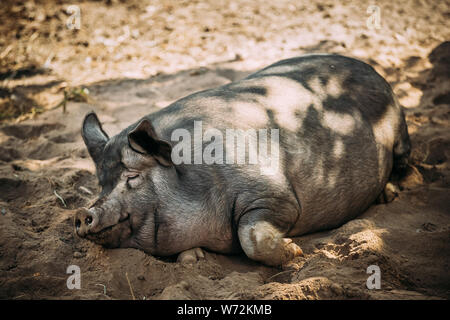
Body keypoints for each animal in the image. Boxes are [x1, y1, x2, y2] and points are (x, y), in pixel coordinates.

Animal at [75, 53, 410, 266]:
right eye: (101, 183)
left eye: (132, 176)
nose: (82, 213)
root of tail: (368, 66)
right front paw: (192, 259)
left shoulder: (275, 194)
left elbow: (252, 236)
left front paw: (295, 253)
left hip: (399, 129)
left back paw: (392, 193)